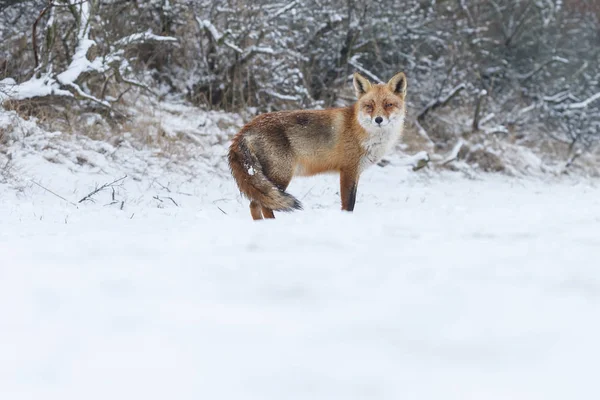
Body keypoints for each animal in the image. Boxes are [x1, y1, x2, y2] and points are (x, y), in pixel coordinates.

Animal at [227, 72, 406, 222]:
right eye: (369, 105)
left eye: (388, 104)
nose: (378, 120)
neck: (360, 130)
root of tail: (246, 127)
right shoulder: (348, 170)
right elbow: (348, 204)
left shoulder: (356, 172)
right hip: (280, 176)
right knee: (264, 204)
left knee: (254, 204)